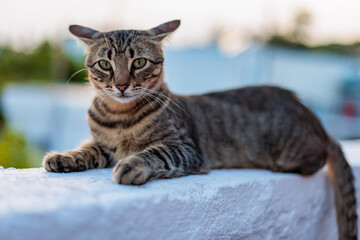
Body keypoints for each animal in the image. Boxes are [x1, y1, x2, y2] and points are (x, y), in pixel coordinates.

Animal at [43, 19, 358, 239]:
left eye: (139, 62)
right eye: (105, 64)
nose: (121, 85)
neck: (120, 116)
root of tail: (311, 115)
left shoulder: (187, 148)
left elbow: (156, 153)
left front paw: (133, 165)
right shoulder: (103, 145)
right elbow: (87, 149)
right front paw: (66, 157)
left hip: (296, 148)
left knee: (316, 159)